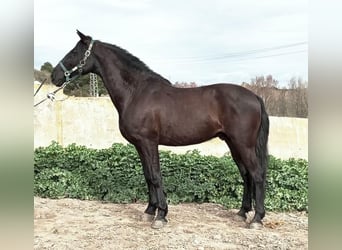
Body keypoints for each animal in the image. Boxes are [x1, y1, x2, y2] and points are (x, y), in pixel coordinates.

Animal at [51, 30, 270, 229]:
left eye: (73, 52)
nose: (54, 76)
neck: (136, 92)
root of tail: (255, 97)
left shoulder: (149, 142)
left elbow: (156, 176)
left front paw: (161, 216)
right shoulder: (140, 145)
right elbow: (148, 176)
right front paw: (150, 211)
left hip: (243, 144)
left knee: (257, 174)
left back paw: (257, 219)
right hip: (233, 144)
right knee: (246, 175)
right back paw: (242, 213)